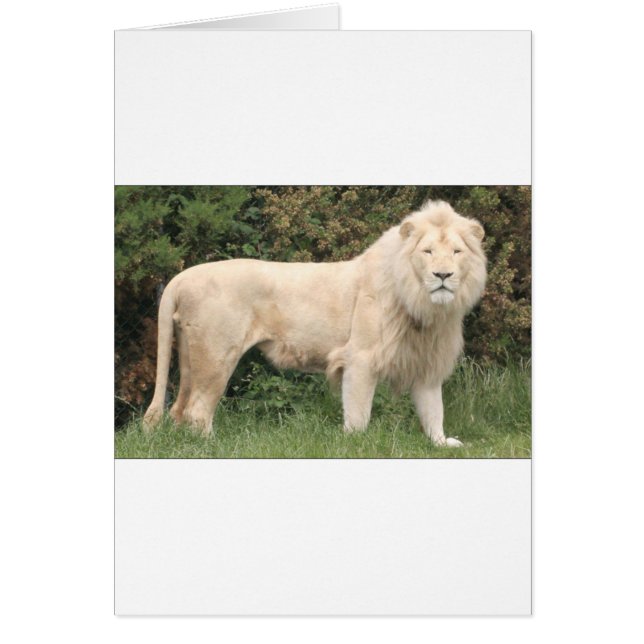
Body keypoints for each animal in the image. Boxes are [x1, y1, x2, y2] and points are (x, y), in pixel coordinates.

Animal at [143, 200, 487, 446]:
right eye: (428, 252)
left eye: (456, 252)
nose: (443, 275)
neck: (423, 305)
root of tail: (182, 276)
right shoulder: (360, 358)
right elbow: (358, 411)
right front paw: (356, 444)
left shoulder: (426, 362)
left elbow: (433, 409)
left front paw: (442, 443)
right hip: (217, 355)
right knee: (198, 410)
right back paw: (210, 446)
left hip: (190, 355)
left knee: (179, 409)